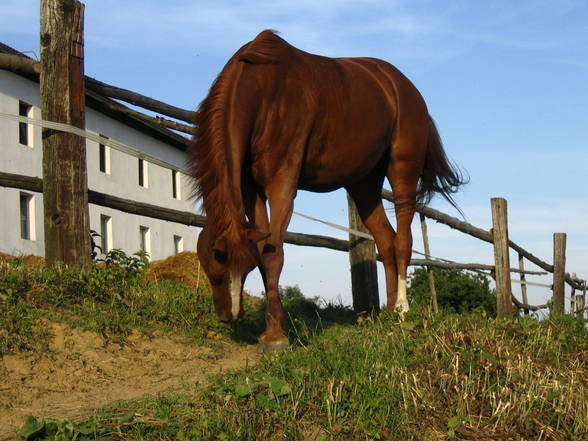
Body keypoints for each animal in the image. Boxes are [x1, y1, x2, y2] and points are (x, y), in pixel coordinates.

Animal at [188, 30, 464, 350]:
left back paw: (402, 310)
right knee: (386, 242)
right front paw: (269, 330)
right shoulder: (250, 191)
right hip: (364, 184)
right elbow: (263, 249)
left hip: (402, 171)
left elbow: (273, 254)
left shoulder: (282, 185)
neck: (263, 89)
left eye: (224, 272)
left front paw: (276, 336)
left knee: (403, 240)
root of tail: (405, 87)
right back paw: (387, 314)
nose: (228, 316)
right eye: (212, 270)